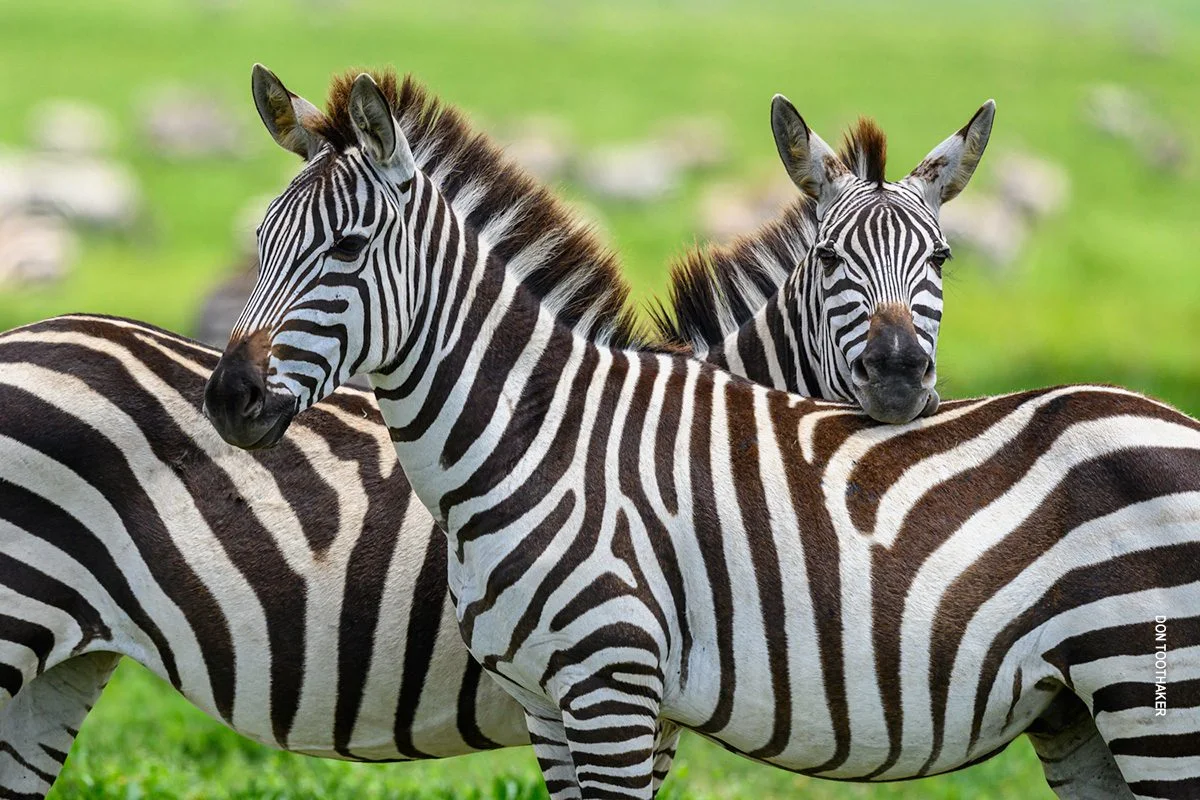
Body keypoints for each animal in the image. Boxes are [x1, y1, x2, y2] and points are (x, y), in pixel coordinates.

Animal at [205, 66, 1200, 800]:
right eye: (261, 237)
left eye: (347, 247)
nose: (229, 397)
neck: (540, 445)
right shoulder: (547, 706)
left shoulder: (615, 689)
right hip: (1083, 715)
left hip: (1159, 702)